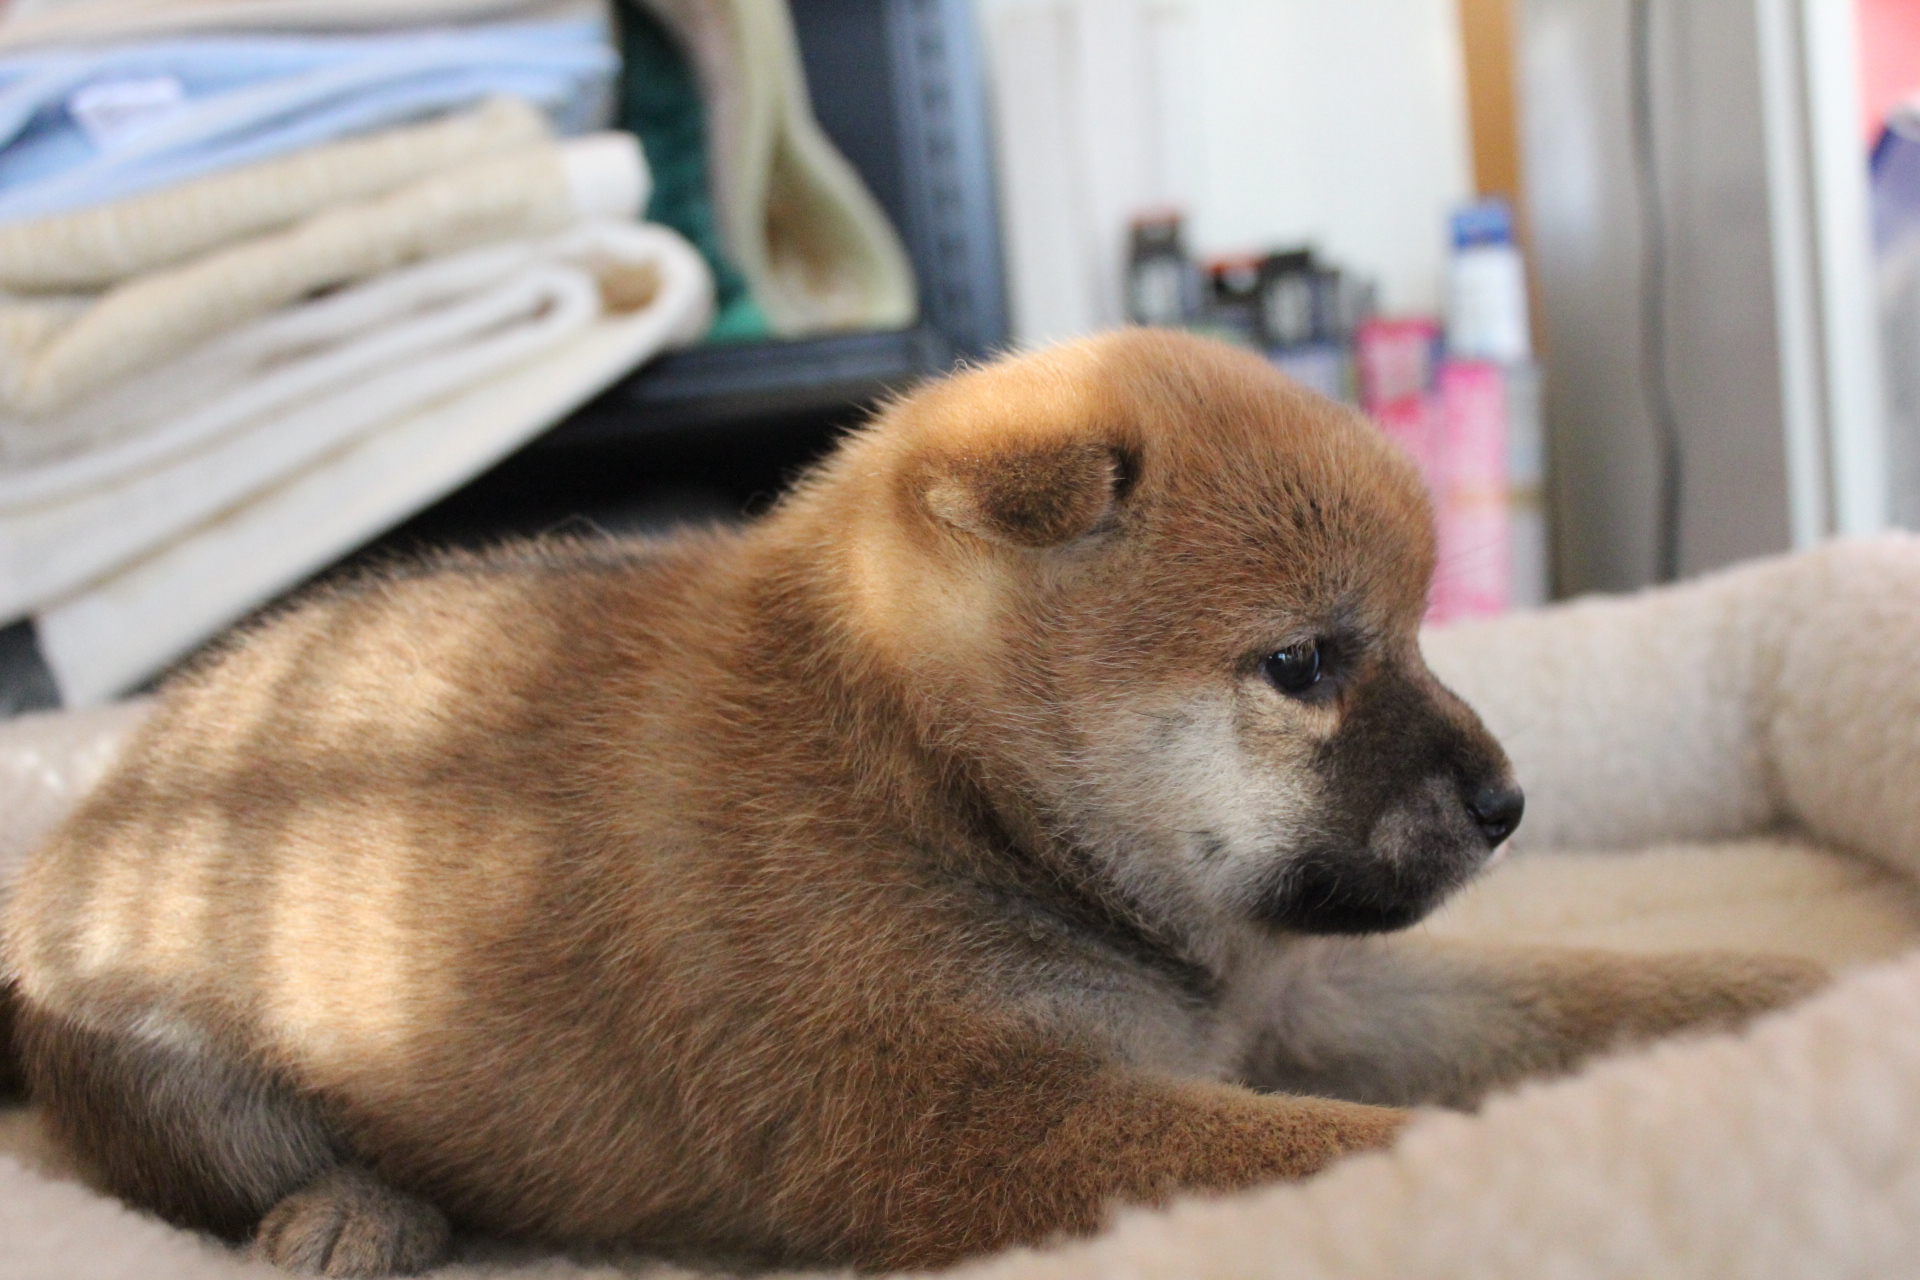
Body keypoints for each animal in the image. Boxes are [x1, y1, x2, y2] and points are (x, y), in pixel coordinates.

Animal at [0, 330, 1823, 1276]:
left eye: (1430, 626)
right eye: (1306, 662)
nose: (1512, 801)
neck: (945, 792)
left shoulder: (1295, 998)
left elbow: (1571, 995)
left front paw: (1785, 996)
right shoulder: (966, 1126)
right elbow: (1353, 1148)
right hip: (178, 1069)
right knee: (195, 1165)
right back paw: (350, 1212)